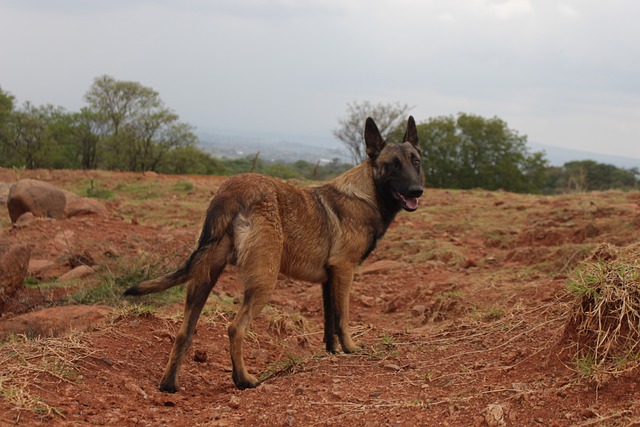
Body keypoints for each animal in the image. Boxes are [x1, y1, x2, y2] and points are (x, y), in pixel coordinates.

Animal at [125, 116, 424, 392]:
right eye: (393, 164)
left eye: (416, 162)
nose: (417, 191)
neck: (368, 191)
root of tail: (233, 189)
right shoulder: (344, 271)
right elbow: (343, 318)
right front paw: (351, 349)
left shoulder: (329, 280)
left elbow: (329, 324)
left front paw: (332, 353)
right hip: (264, 281)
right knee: (235, 328)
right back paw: (243, 380)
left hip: (203, 278)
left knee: (184, 332)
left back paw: (170, 385)